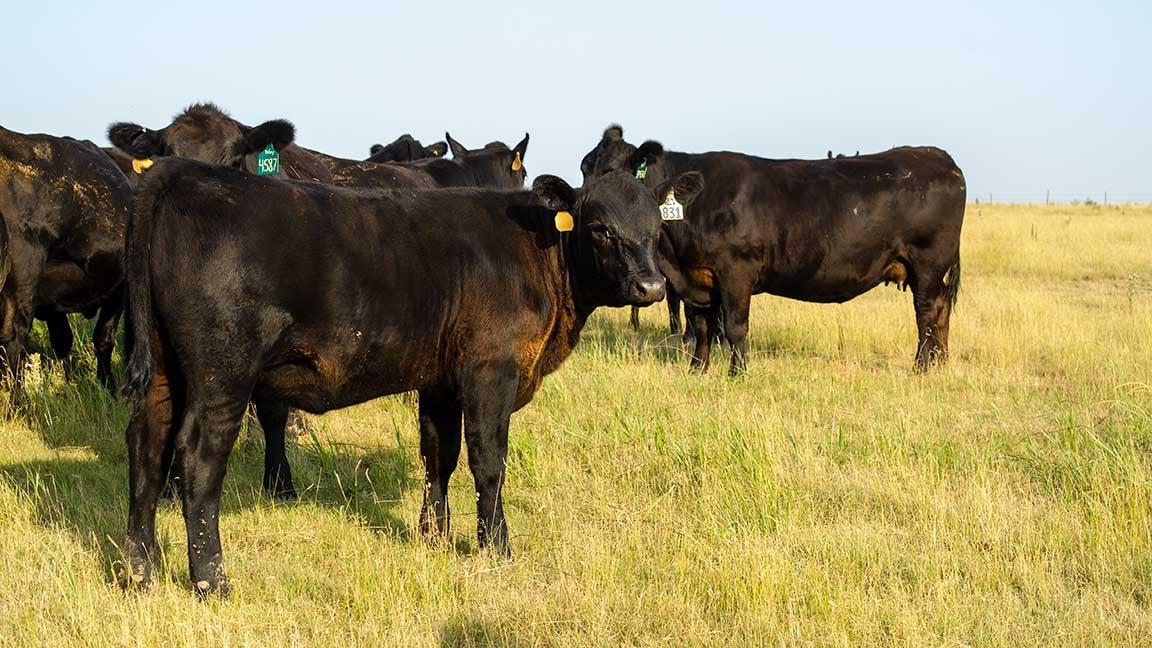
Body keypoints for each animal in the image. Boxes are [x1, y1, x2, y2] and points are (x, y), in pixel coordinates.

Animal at [120, 157, 703, 596]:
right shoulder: (490, 371)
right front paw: (497, 547)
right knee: (198, 458)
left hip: (165, 372)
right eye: (600, 229)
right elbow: (488, 462)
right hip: (223, 372)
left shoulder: (440, 379)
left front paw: (435, 538)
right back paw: (211, 582)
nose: (651, 286)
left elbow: (438, 455)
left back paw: (141, 573)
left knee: (147, 447)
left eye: (656, 228)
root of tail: (186, 171)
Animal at [582, 125, 965, 375]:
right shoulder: (696, 278)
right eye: (584, 169)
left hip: (927, 263)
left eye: (614, 172)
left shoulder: (735, 272)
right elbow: (702, 325)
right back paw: (941, 362)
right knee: (942, 308)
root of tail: (940, 157)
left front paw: (737, 374)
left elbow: (735, 326)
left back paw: (922, 366)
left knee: (927, 311)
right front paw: (697, 370)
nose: (588, 211)